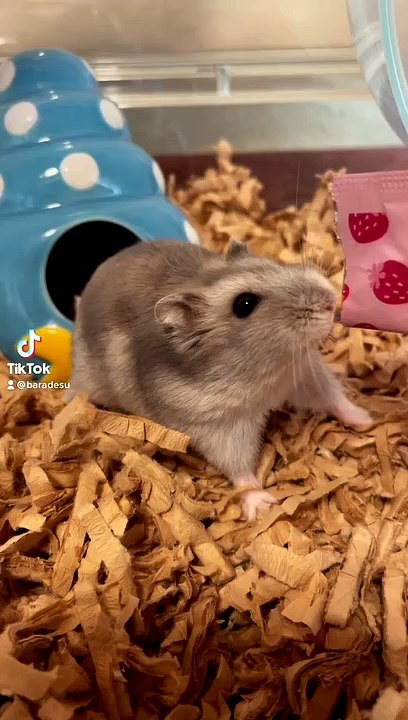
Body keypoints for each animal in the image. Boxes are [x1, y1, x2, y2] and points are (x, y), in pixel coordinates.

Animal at [67, 238, 371, 521]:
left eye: (273, 265)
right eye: (244, 304)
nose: (330, 300)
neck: (263, 372)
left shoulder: (303, 373)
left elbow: (334, 397)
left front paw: (367, 420)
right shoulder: (219, 426)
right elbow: (239, 467)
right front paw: (263, 506)